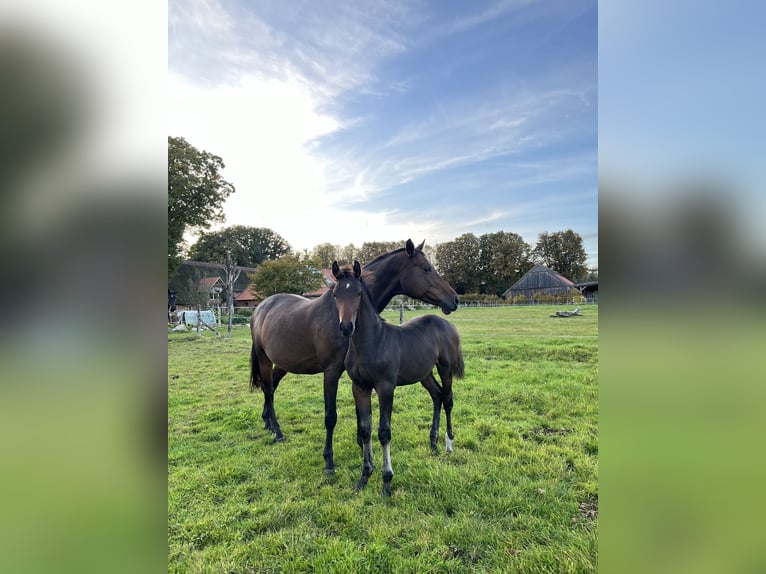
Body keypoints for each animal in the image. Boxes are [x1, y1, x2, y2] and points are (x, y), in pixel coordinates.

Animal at [252, 241, 460, 474]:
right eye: (426, 268)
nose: (454, 299)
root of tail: (261, 308)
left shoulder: (356, 376)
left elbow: (361, 415)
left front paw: (363, 449)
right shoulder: (332, 371)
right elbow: (331, 416)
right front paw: (329, 460)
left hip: (283, 363)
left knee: (271, 387)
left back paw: (268, 422)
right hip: (264, 359)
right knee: (268, 390)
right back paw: (277, 432)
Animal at [332, 264, 464, 498]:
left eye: (359, 294)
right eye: (335, 294)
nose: (346, 327)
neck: (370, 343)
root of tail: (447, 323)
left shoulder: (385, 388)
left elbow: (384, 432)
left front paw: (386, 482)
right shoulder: (360, 387)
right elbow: (365, 430)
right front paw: (364, 478)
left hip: (445, 367)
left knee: (448, 399)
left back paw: (448, 443)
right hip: (424, 373)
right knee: (437, 395)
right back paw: (433, 443)